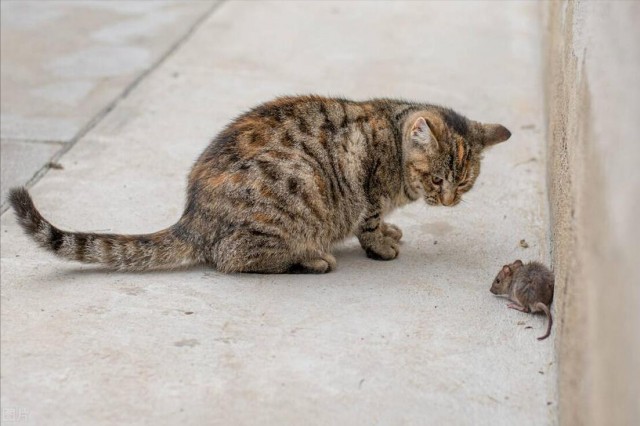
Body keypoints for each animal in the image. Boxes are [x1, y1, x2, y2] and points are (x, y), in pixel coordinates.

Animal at [8, 95, 510, 272]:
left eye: (464, 184)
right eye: (438, 177)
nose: (449, 201)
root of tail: (192, 217)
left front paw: (391, 230)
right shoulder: (366, 188)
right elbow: (367, 223)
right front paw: (381, 243)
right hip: (297, 188)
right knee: (232, 258)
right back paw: (311, 258)